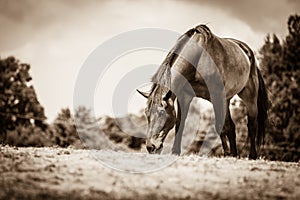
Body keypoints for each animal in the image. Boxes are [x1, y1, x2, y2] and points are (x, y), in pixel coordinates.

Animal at [137, 24, 268, 159]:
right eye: (147, 114)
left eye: (162, 113)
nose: (150, 147)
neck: (198, 59)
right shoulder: (184, 96)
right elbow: (180, 123)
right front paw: (175, 151)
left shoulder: (216, 96)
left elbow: (220, 126)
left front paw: (226, 153)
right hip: (226, 99)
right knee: (231, 126)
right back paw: (234, 154)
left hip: (249, 96)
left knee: (251, 124)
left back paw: (251, 155)